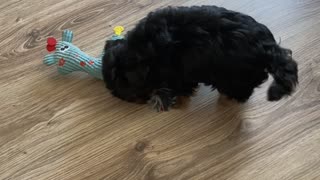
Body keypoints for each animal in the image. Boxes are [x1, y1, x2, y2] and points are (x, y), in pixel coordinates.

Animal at [102, 5, 298, 111]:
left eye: (128, 89)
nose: (137, 101)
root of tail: (268, 46)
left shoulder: (177, 72)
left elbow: (180, 86)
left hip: (235, 77)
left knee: (241, 89)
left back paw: (231, 97)